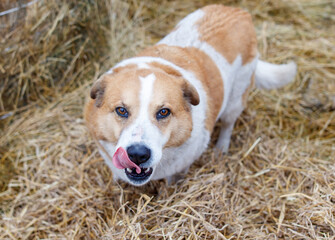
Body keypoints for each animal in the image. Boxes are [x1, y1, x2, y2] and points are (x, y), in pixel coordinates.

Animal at [84, 4, 296, 187]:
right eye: (121, 110)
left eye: (163, 112)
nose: (137, 154)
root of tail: (239, 11)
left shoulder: (181, 167)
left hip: (235, 100)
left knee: (228, 124)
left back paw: (221, 148)